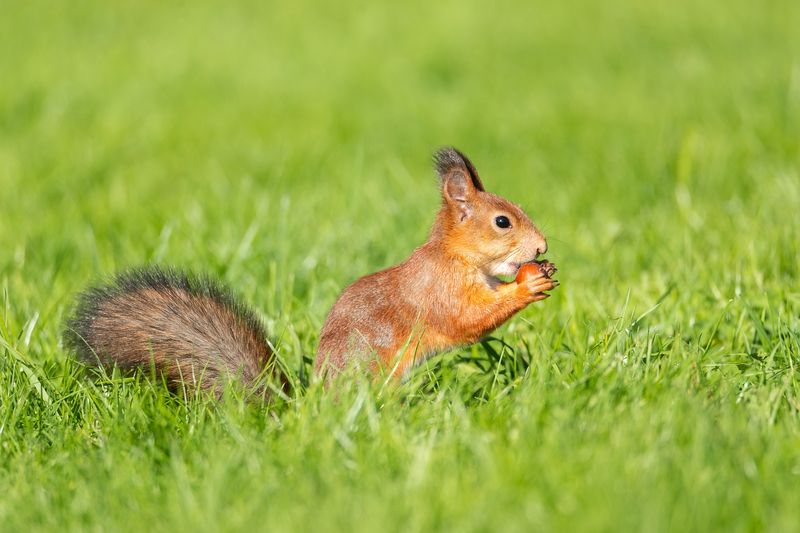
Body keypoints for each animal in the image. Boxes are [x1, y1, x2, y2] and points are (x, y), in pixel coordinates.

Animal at [64, 148, 557, 398]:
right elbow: (467, 320)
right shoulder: (439, 290)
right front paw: (529, 283)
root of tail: (312, 410)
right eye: (502, 222)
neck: (457, 256)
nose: (542, 247)